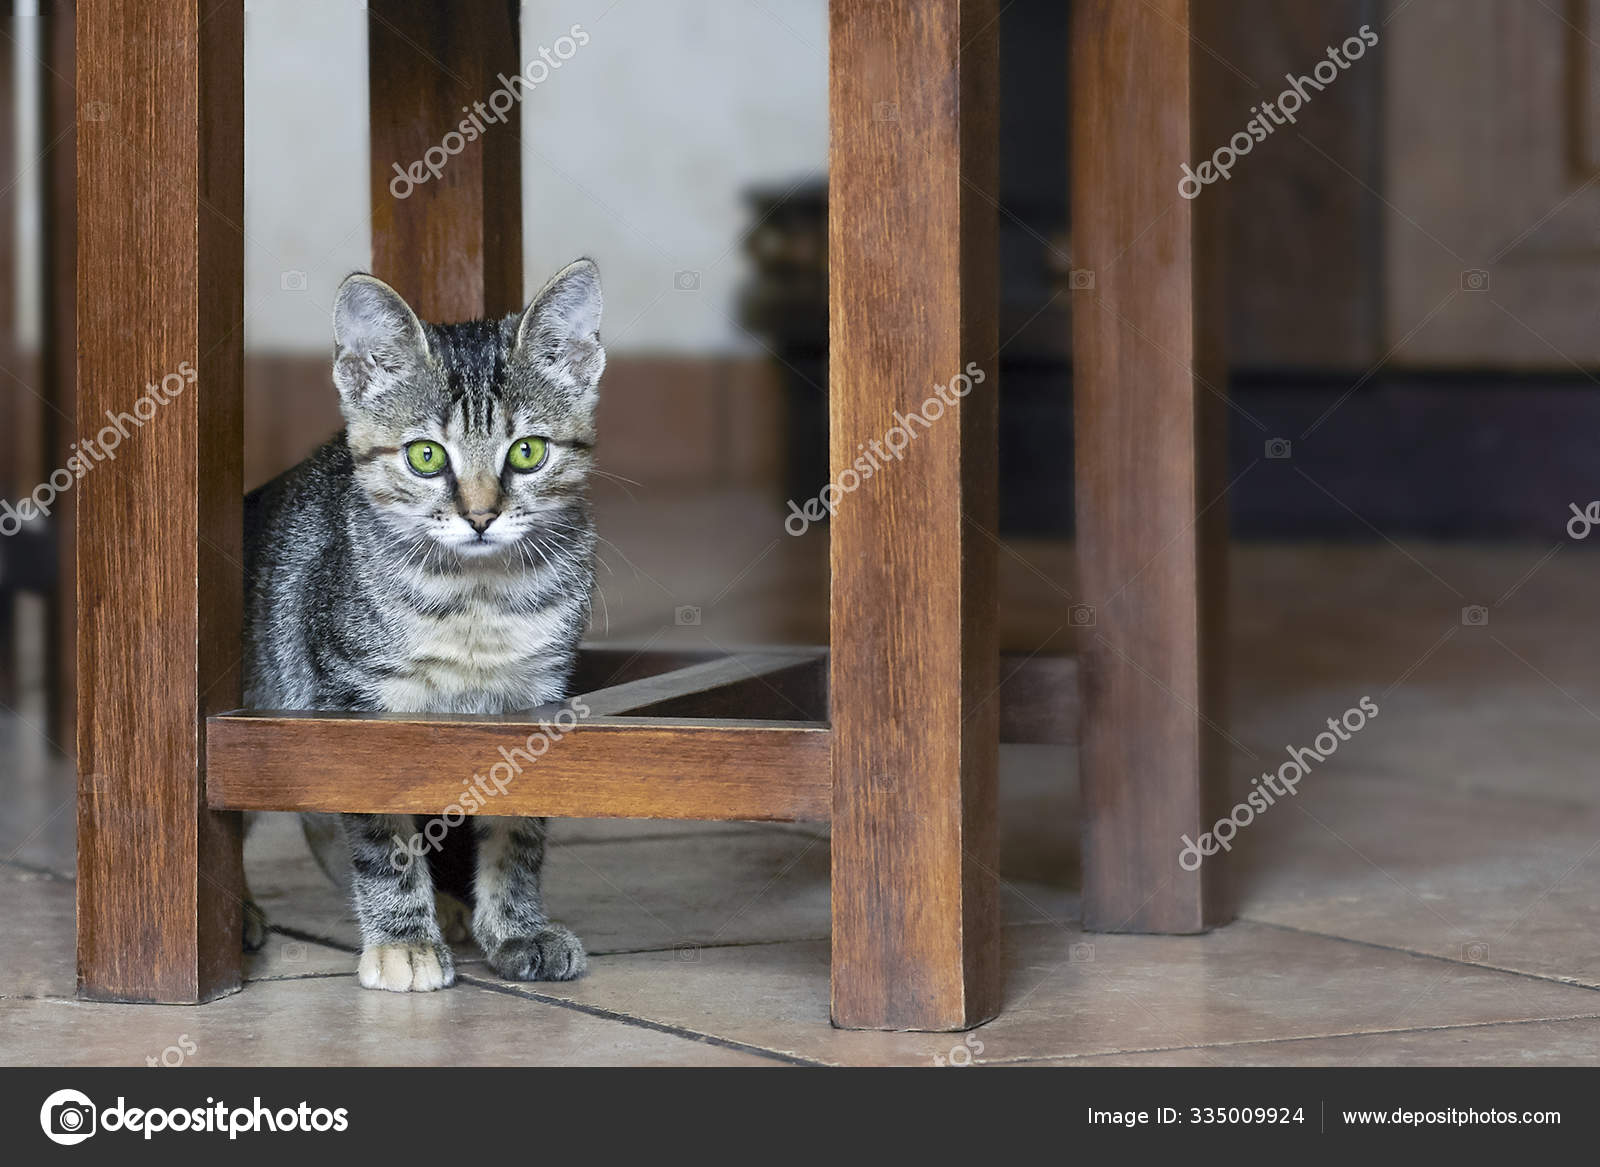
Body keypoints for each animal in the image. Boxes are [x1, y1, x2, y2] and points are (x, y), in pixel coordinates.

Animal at [243, 259, 601, 986]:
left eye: (528, 452)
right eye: (426, 457)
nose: (481, 515)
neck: (478, 601)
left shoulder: (535, 700)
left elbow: (518, 825)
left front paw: (518, 926)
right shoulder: (355, 699)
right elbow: (379, 829)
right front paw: (402, 939)